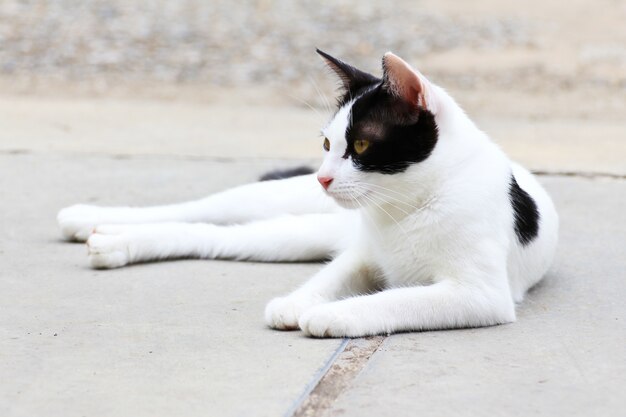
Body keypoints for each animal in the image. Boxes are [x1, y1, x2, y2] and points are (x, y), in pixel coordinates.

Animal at [57, 50, 556, 338]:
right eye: (327, 144)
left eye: (360, 146)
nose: (323, 178)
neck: (403, 208)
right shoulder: (361, 256)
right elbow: (330, 278)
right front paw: (299, 305)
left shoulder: (478, 294)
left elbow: (396, 298)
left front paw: (335, 315)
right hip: (273, 206)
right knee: (203, 210)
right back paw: (88, 218)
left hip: (287, 236)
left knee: (212, 236)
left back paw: (111, 240)